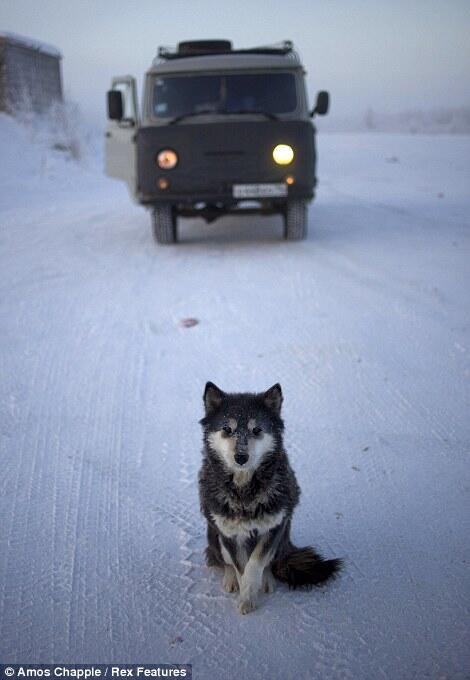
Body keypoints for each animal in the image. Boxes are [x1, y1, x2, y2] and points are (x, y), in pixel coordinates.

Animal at [198, 382, 342, 616]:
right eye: (227, 429)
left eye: (257, 430)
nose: (241, 457)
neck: (245, 492)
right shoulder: (229, 532)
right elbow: (239, 566)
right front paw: (244, 594)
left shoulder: (274, 526)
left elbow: (256, 563)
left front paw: (250, 593)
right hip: (214, 534)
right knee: (223, 560)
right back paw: (229, 579)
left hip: (282, 536)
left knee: (269, 561)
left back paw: (266, 580)